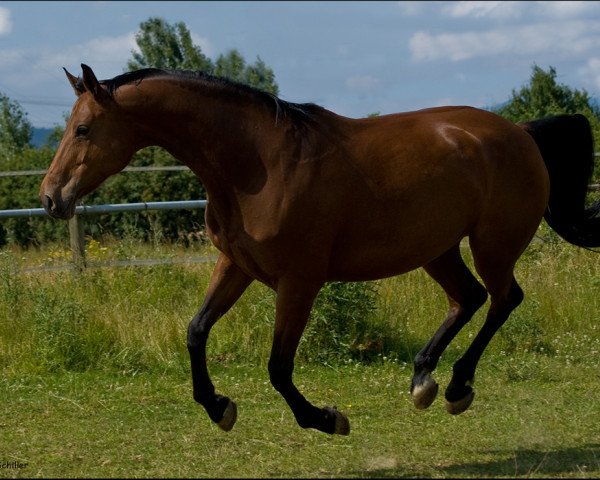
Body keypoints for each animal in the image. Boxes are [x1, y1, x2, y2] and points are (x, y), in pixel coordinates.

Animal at [39, 63, 596, 436]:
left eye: (83, 128)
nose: (50, 197)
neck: (258, 166)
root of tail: (520, 132)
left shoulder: (299, 281)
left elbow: (278, 366)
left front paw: (327, 419)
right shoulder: (236, 265)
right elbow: (196, 332)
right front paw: (220, 407)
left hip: (492, 244)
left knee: (503, 299)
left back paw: (457, 387)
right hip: (436, 249)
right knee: (470, 298)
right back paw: (423, 379)